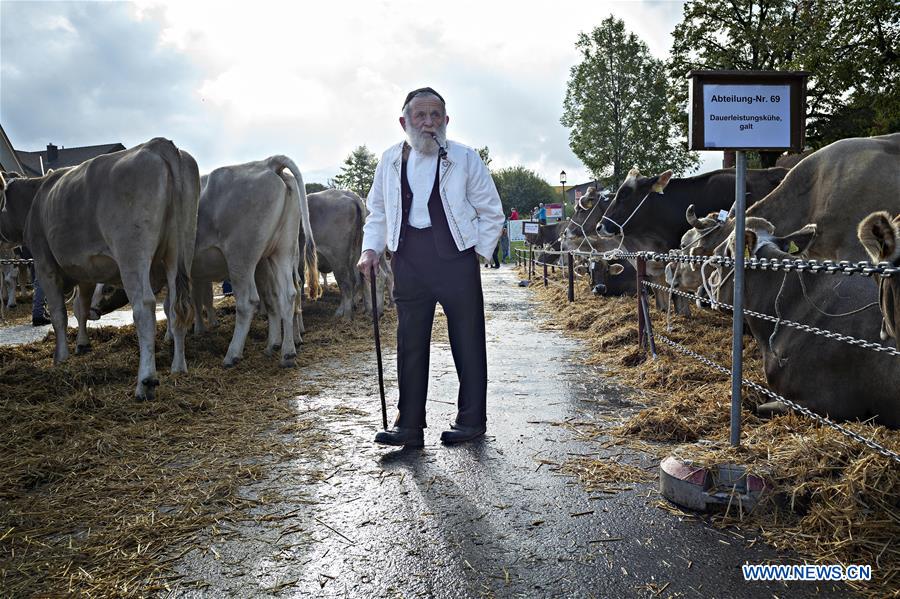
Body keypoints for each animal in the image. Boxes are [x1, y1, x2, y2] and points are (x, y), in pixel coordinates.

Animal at [0, 140, 199, 400]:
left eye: (1, 200)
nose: (1, 234)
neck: (38, 198)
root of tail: (158, 144)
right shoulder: (86, 270)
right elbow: (81, 308)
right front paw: (82, 344)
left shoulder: (45, 265)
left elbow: (59, 314)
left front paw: (60, 357)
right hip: (180, 250)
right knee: (176, 306)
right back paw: (179, 367)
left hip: (131, 253)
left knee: (144, 307)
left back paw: (145, 382)